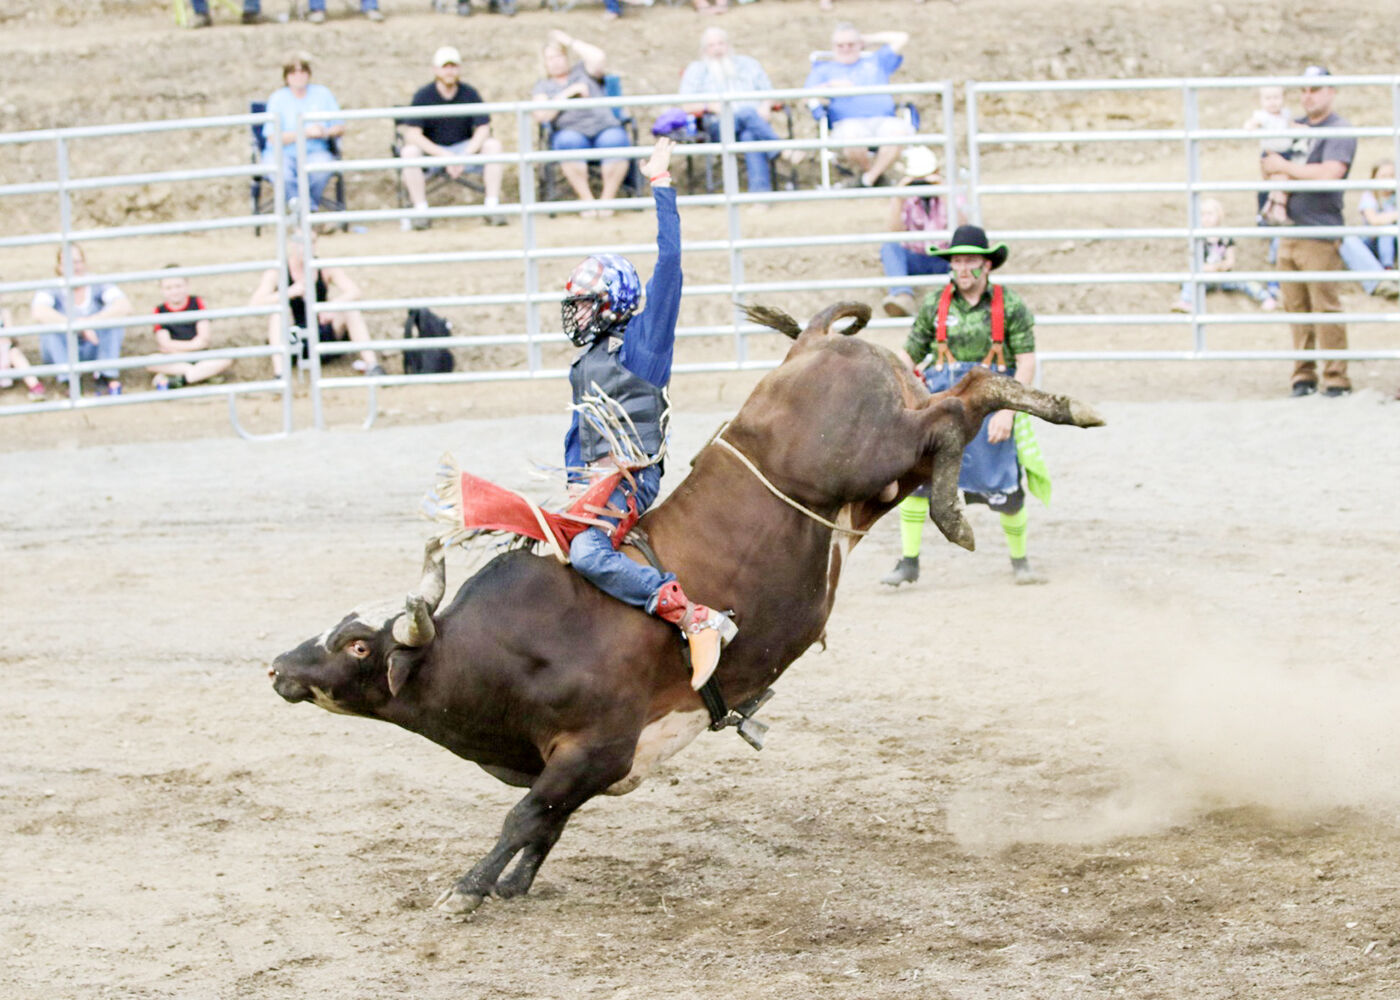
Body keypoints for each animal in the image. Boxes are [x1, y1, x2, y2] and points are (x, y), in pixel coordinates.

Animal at [270, 302, 1103, 913]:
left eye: (357, 646)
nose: (278, 666)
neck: (493, 654)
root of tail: (809, 349)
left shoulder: (595, 748)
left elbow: (526, 816)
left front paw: (468, 890)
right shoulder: (580, 767)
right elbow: (546, 825)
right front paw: (514, 884)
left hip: (880, 449)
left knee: (965, 401)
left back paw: (1025, 445)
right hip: (883, 479)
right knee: (955, 408)